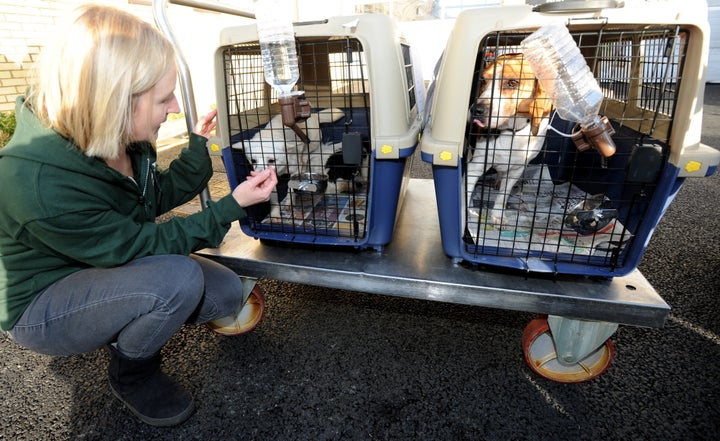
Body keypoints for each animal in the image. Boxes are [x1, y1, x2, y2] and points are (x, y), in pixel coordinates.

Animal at [464, 53, 556, 227]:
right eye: (483, 81)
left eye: (512, 82)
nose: (476, 110)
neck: (511, 131)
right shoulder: (476, 165)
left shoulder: (517, 170)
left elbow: (503, 195)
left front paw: (497, 216)